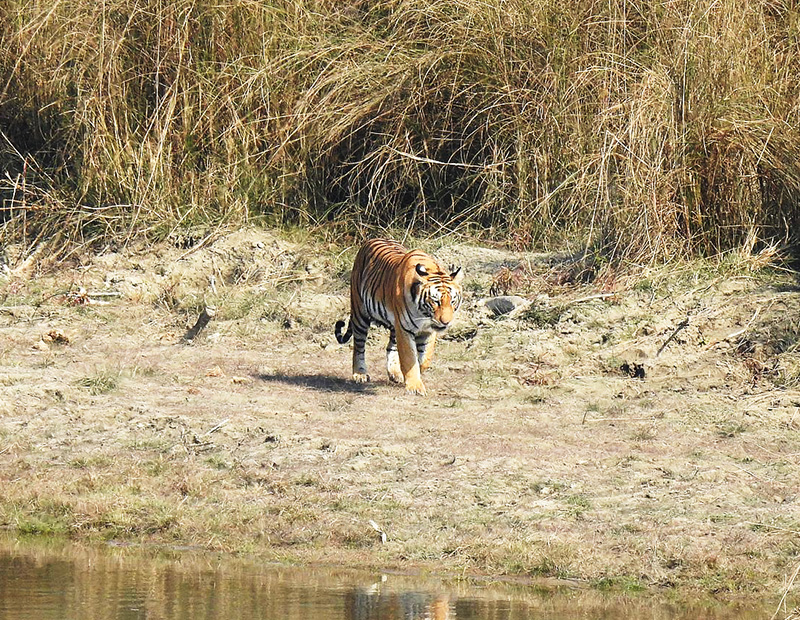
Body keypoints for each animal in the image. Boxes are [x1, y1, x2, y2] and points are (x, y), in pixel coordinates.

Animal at [334, 240, 466, 394]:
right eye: (435, 301)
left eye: (452, 301)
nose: (446, 322)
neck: (424, 314)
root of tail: (369, 241)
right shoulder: (404, 328)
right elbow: (409, 357)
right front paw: (415, 386)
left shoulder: (428, 330)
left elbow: (424, 358)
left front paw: (413, 375)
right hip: (360, 313)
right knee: (359, 346)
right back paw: (360, 374)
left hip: (393, 324)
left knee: (390, 346)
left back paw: (394, 373)